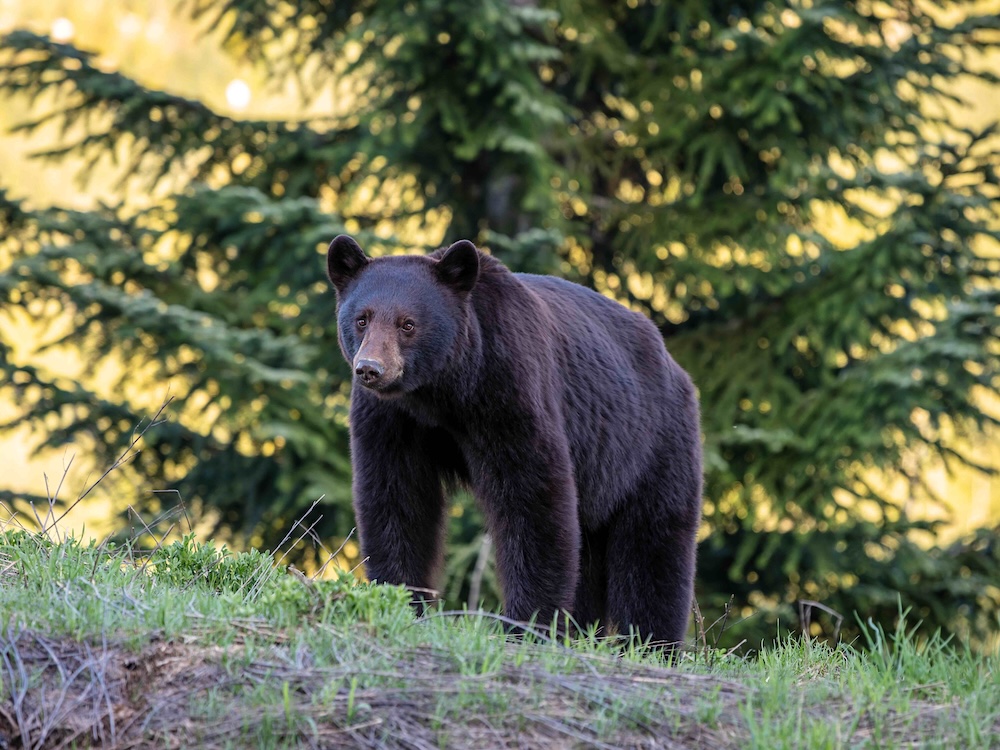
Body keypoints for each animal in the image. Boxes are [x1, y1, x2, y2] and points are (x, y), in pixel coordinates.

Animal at [325, 234, 703, 647]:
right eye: (362, 319)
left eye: (408, 324)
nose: (370, 369)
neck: (441, 394)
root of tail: (675, 366)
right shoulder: (392, 421)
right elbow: (397, 499)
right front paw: (402, 599)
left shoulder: (508, 389)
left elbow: (531, 498)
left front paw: (528, 623)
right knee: (589, 551)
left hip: (651, 443)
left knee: (653, 543)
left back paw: (654, 643)